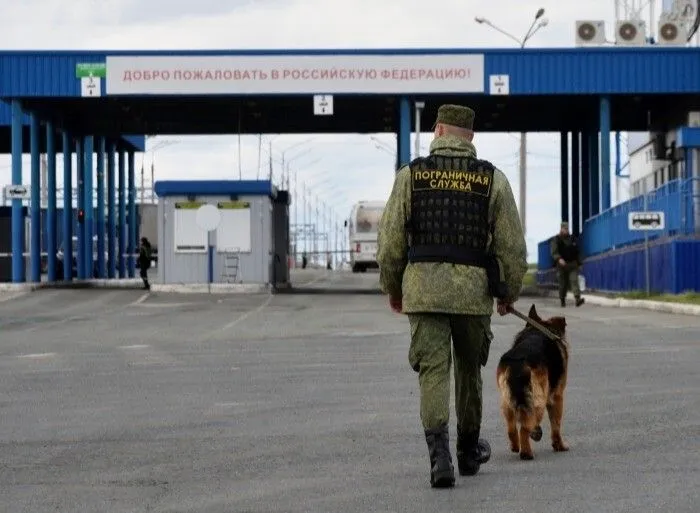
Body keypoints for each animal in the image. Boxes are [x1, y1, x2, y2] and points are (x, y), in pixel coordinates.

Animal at [498, 304, 568, 460]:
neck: (539, 329)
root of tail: (519, 361)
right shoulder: (557, 397)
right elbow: (556, 425)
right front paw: (559, 446)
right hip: (539, 400)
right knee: (525, 427)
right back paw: (527, 451)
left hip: (507, 402)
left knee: (511, 427)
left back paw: (516, 446)